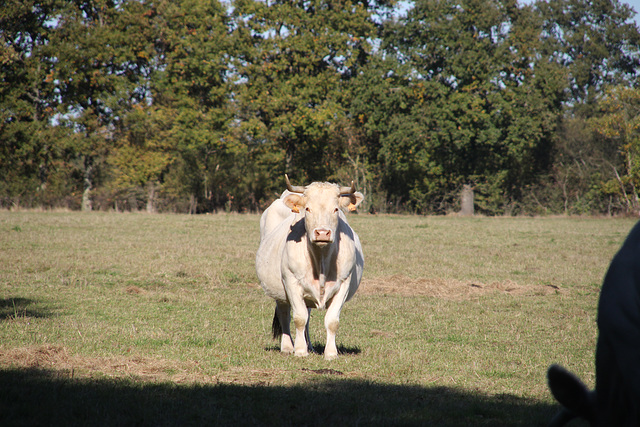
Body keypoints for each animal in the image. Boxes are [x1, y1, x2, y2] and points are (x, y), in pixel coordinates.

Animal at [256, 176, 364, 360]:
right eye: (307, 208)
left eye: (336, 209)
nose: (322, 233)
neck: (321, 260)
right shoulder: (291, 282)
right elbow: (299, 318)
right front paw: (300, 350)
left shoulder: (344, 283)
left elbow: (332, 321)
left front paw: (330, 353)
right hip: (279, 292)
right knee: (284, 315)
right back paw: (287, 346)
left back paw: (310, 346)